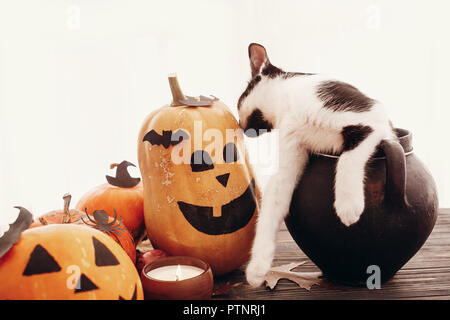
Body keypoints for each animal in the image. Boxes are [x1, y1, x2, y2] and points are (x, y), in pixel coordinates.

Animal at [237, 43, 396, 288]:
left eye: (239, 99)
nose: (239, 126)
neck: (288, 102)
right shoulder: (291, 148)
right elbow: (273, 203)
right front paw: (257, 269)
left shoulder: (371, 122)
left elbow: (347, 159)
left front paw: (348, 207)